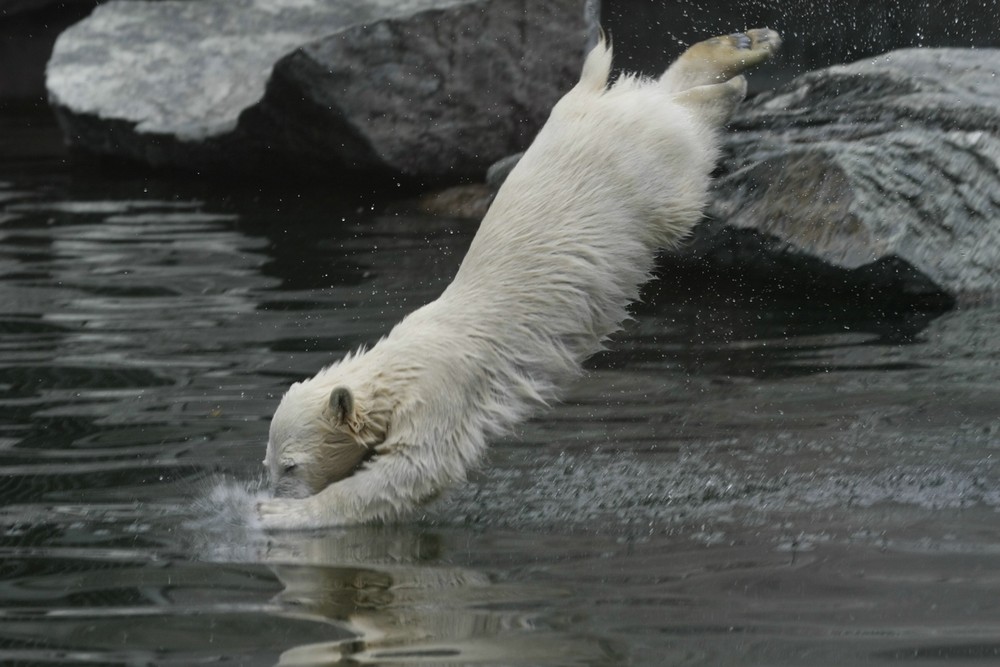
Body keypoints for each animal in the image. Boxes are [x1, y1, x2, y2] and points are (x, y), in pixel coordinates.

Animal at [260, 30, 780, 532]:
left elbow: (416, 468)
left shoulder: (440, 392)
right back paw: (745, 44)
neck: (401, 364)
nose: (275, 490)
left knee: (686, 146)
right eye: (268, 464)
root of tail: (588, 99)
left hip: (646, 175)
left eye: (289, 465)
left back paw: (732, 81)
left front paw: (276, 516)